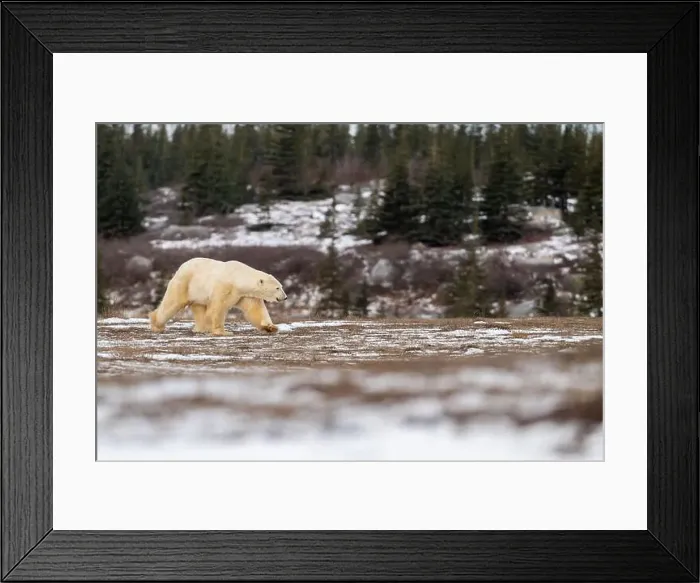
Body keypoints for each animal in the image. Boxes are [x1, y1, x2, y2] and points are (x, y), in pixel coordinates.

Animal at [148, 257, 287, 336]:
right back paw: (157, 325)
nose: (285, 297)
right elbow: (218, 307)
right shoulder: (225, 287)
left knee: (199, 308)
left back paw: (202, 329)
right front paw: (223, 332)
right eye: (277, 288)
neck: (238, 278)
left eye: (281, 286)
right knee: (173, 303)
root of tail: (181, 267)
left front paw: (271, 327)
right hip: (185, 283)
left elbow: (255, 310)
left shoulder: (245, 294)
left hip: (198, 292)